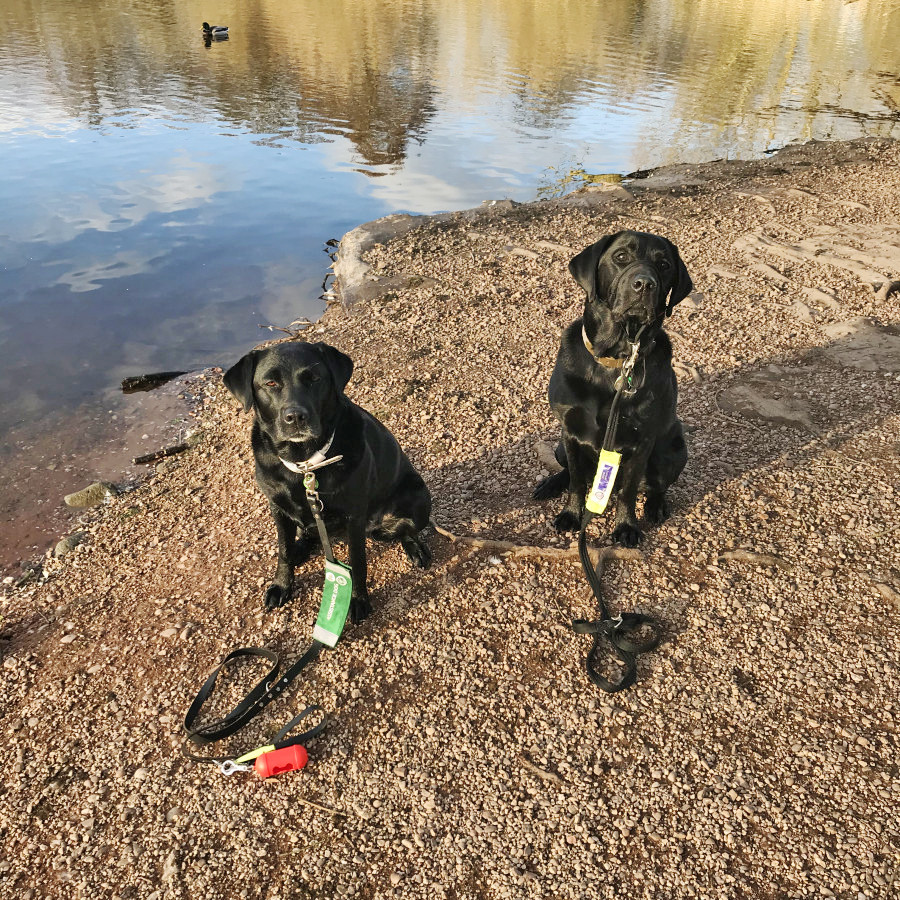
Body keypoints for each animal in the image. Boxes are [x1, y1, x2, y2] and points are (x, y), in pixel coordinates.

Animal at [227, 342, 434, 624]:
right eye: (270, 383)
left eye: (314, 378)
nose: (295, 417)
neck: (304, 463)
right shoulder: (277, 508)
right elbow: (283, 550)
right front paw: (281, 585)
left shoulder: (354, 517)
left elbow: (358, 562)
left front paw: (358, 600)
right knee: (305, 533)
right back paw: (301, 547)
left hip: (419, 500)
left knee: (406, 529)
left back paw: (415, 548)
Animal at [536, 229, 692, 544]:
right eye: (621, 257)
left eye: (664, 265)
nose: (644, 284)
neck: (616, 359)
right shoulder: (569, 431)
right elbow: (576, 482)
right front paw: (571, 515)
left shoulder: (642, 440)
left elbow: (628, 491)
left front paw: (626, 527)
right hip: (559, 447)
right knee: (570, 472)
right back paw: (550, 484)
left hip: (675, 450)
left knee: (656, 486)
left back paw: (656, 506)